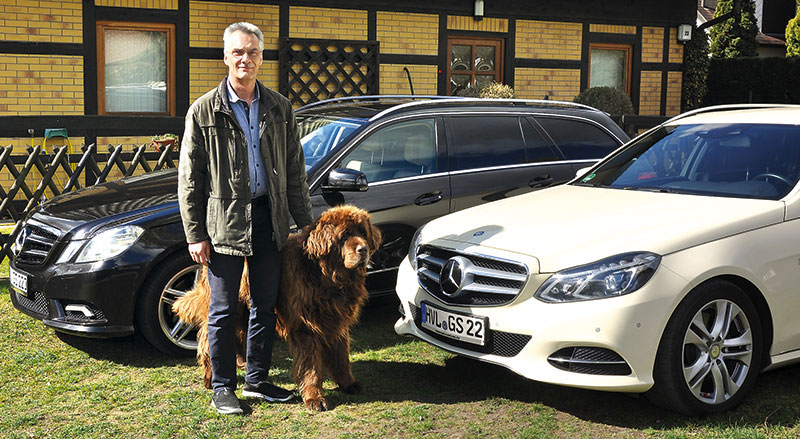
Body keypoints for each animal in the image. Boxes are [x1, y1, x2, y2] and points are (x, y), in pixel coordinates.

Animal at [171, 205, 382, 410]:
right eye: (345, 235)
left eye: (363, 233)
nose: (363, 249)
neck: (326, 278)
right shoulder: (305, 326)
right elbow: (310, 365)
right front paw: (314, 397)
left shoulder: (336, 320)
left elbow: (340, 356)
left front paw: (348, 384)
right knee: (207, 338)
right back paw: (210, 378)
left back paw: (242, 362)